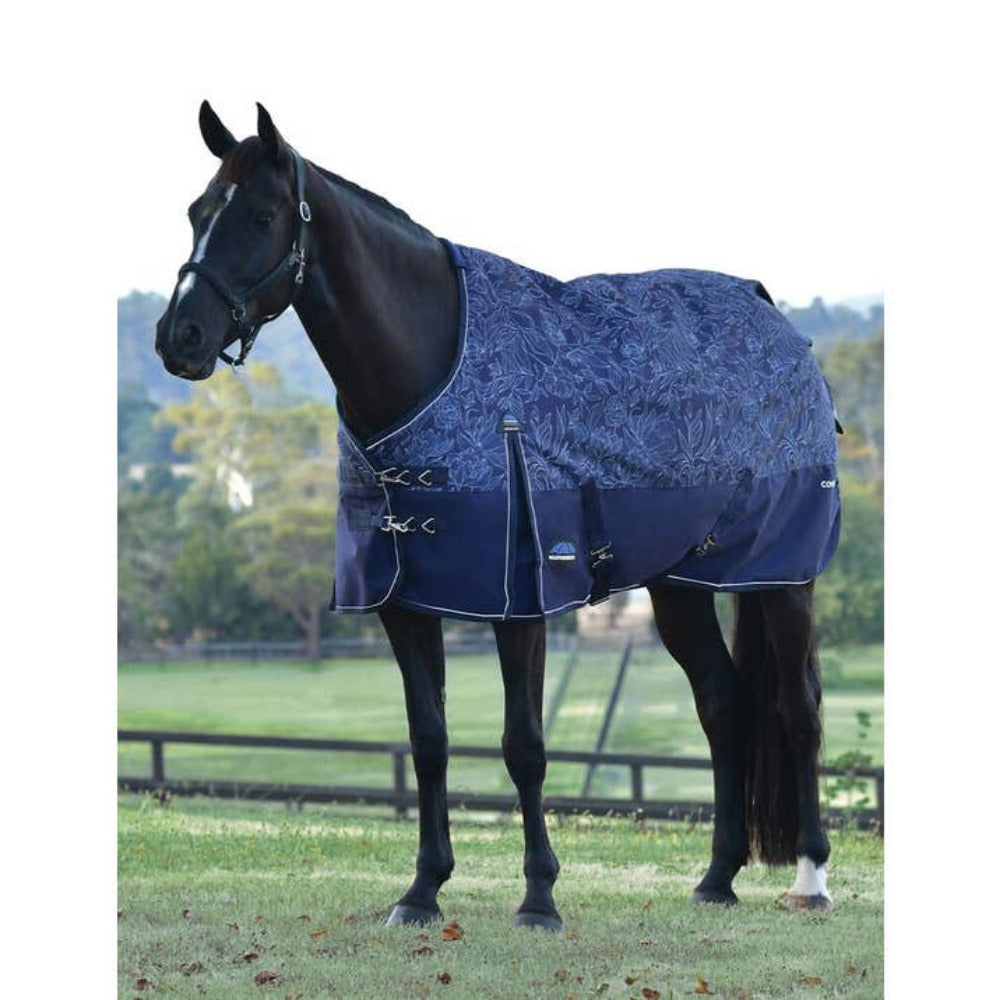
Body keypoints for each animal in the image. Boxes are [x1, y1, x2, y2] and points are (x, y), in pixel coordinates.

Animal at [155, 102, 838, 930]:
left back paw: (809, 877)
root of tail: (775, 317)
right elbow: (430, 740)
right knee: (723, 704)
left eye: (259, 215)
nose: (178, 337)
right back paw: (716, 877)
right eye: (196, 212)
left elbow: (525, 746)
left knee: (798, 707)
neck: (429, 366)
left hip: (783, 576)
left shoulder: (520, 604)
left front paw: (539, 897)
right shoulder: (405, 601)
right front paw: (422, 889)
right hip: (680, 586)